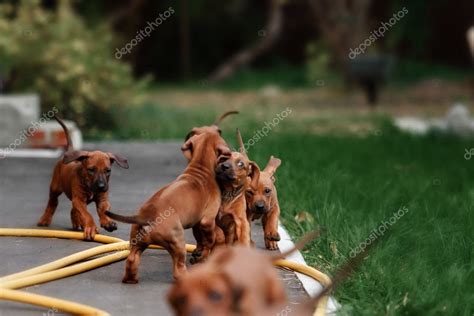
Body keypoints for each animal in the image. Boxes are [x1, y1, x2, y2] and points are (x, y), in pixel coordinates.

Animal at [107, 131, 233, 282]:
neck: (201, 165)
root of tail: (146, 215)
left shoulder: (197, 222)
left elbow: (203, 238)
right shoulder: (207, 220)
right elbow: (209, 239)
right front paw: (202, 253)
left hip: (138, 242)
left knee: (132, 259)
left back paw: (131, 279)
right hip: (177, 241)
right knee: (178, 268)